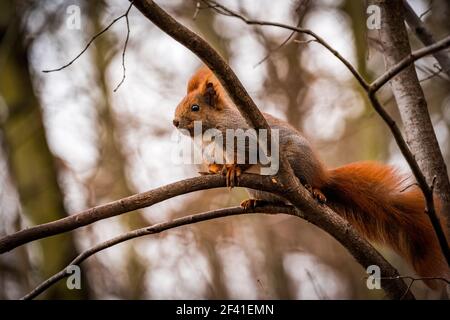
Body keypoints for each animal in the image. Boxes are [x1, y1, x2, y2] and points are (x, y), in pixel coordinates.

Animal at [173, 66, 450, 288]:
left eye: (195, 108)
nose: (175, 122)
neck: (208, 134)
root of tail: (323, 173)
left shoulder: (247, 138)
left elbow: (246, 158)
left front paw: (233, 169)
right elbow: (216, 163)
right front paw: (216, 169)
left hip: (298, 160)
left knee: (313, 183)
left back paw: (314, 190)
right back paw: (255, 202)